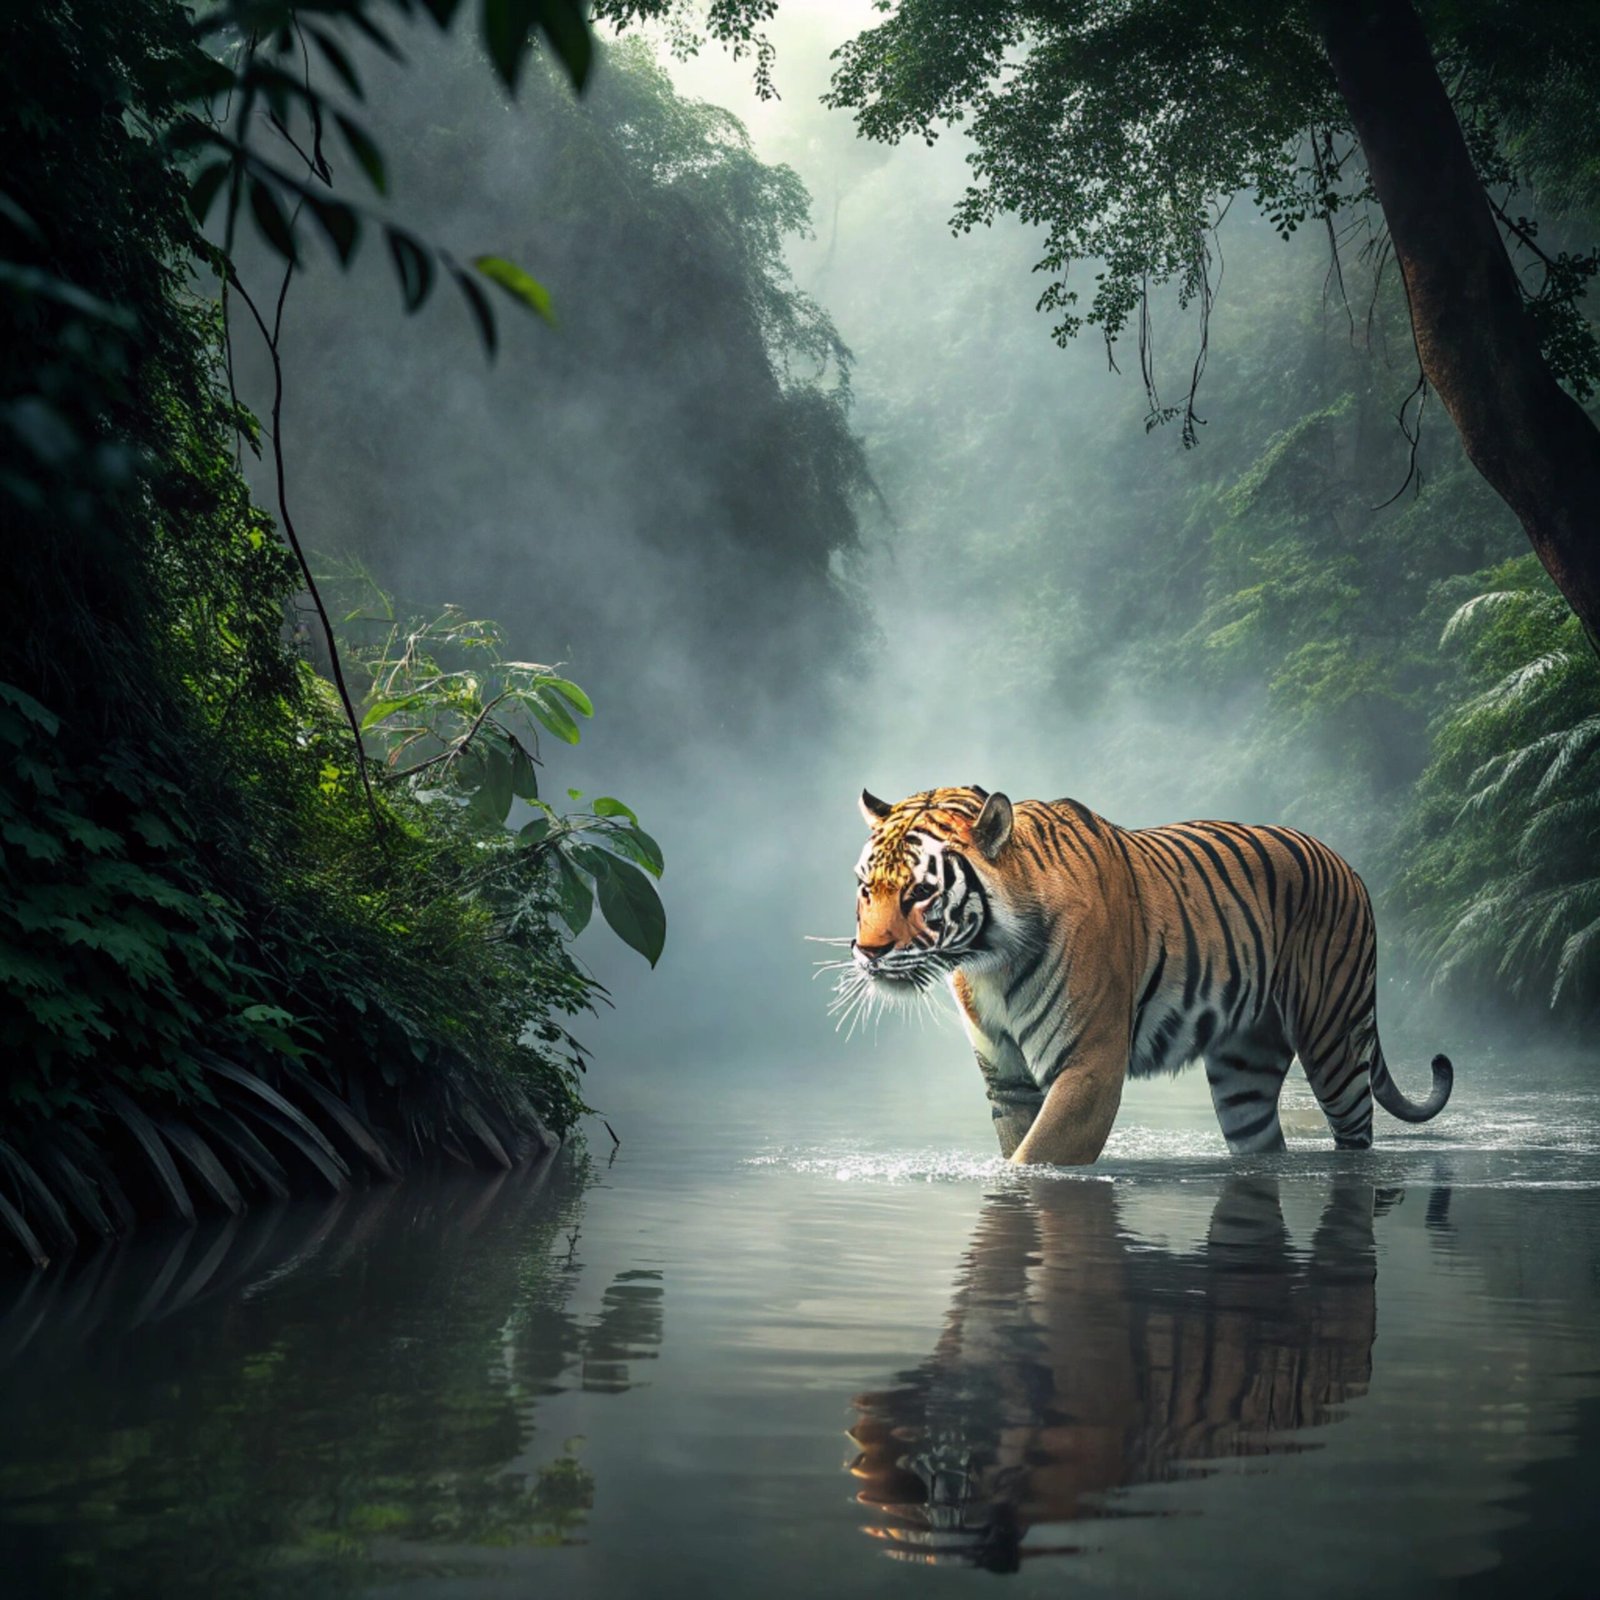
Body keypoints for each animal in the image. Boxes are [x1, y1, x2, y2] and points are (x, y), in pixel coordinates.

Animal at [842, 785, 1453, 1165]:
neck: (989, 959)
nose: (868, 952)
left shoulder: (1089, 1068)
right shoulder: (1008, 1080)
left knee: (1357, 1133)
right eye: (867, 888)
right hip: (1245, 1069)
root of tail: (1346, 863)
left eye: (921, 891)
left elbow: (1033, 1160)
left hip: (1333, 1041)